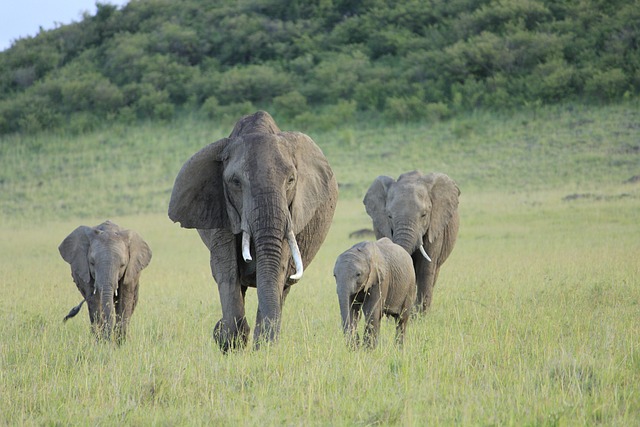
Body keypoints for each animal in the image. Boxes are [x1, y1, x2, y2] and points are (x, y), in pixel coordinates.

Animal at [169, 111, 340, 354]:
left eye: (291, 180)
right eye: (235, 182)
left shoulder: (289, 216)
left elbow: (276, 271)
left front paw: (263, 349)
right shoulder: (222, 207)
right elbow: (227, 271)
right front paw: (230, 341)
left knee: (284, 288)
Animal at [362, 171, 458, 314]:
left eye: (424, 215)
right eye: (389, 216)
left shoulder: (435, 228)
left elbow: (425, 269)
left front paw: (419, 316)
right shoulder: (381, 227)